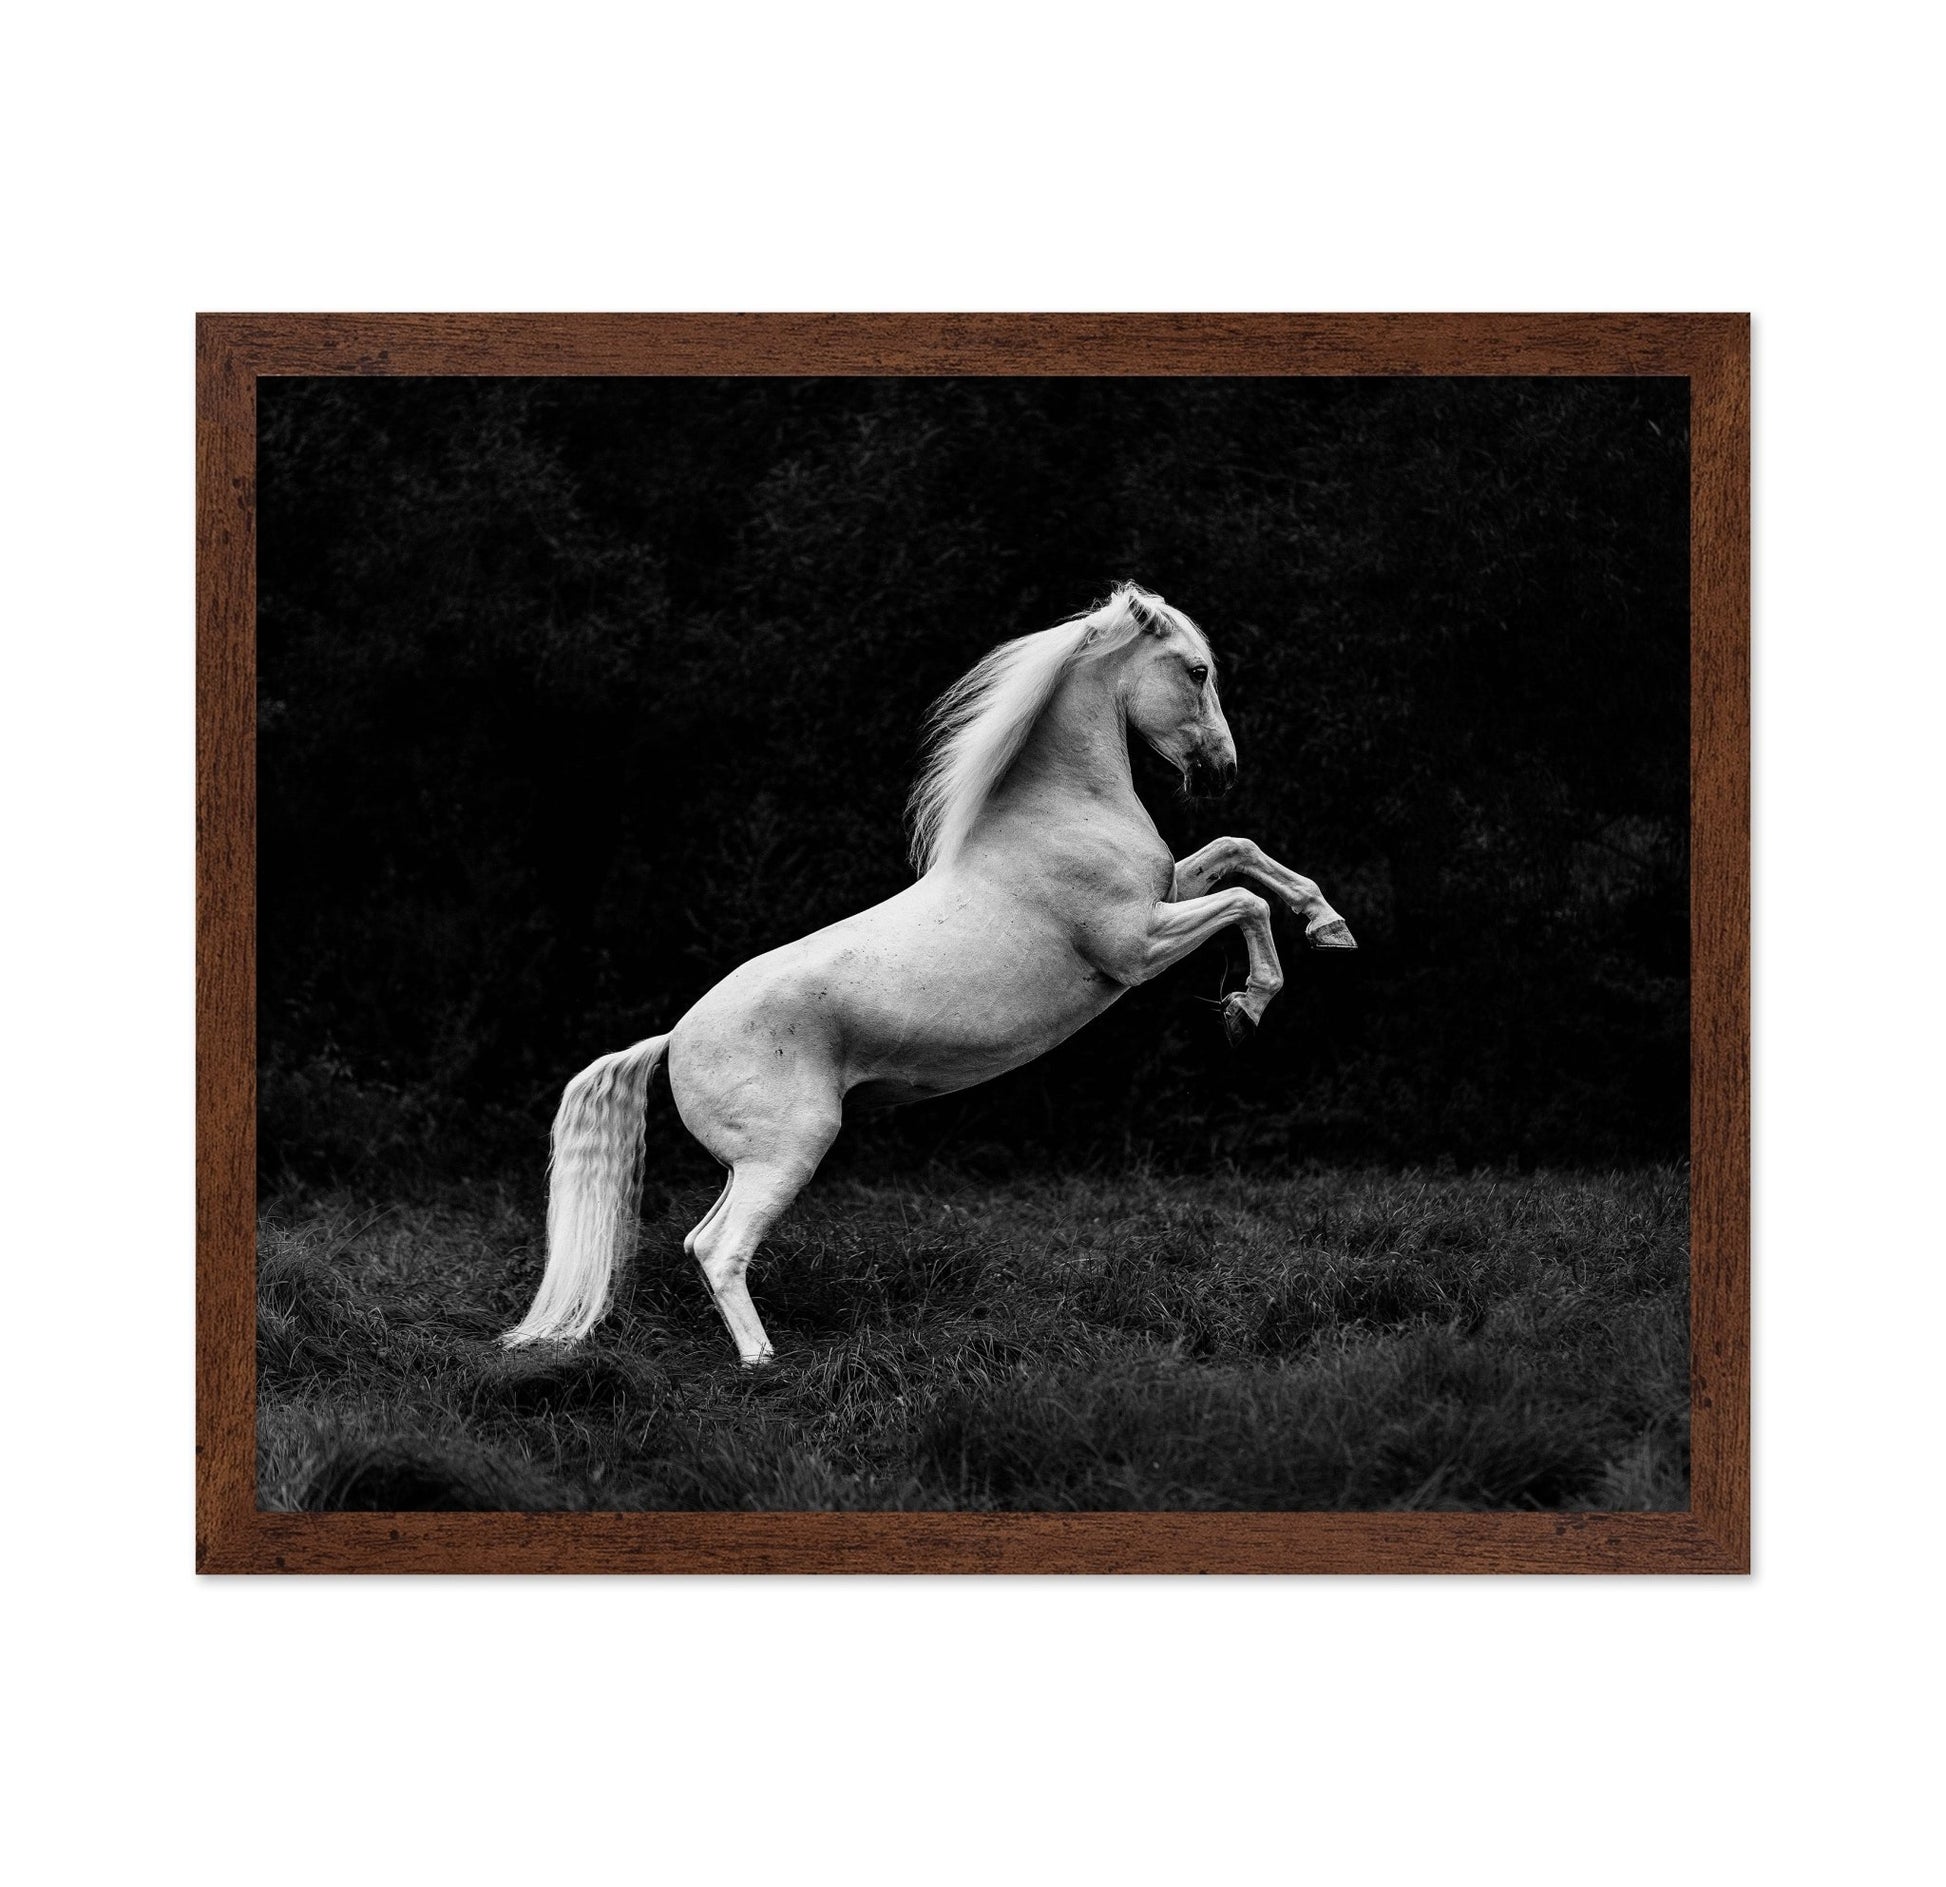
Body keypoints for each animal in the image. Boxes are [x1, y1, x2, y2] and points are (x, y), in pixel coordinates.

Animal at [502, 582, 1356, 1366]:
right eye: (1197, 669)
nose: (1223, 769)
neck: (1062, 814)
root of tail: (672, 1038)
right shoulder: (1137, 945)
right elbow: (1245, 900)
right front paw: (1249, 1005)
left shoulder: (1167, 893)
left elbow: (1239, 852)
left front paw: (1329, 926)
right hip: (787, 1150)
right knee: (719, 1248)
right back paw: (764, 1364)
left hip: (749, 1163)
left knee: (701, 1240)